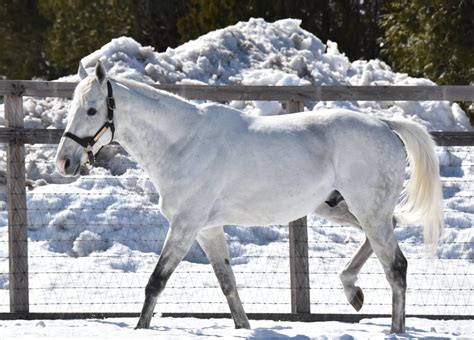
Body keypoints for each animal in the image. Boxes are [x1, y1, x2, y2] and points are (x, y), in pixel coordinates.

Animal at [55, 61, 444, 332]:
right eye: (72, 108)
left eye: (92, 110)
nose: (64, 162)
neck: (183, 143)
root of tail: (386, 126)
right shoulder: (207, 229)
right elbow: (228, 285)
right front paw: (244, 328)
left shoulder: (185, 226)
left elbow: (156, 282)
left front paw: (141, 328)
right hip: (341, 208)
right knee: (383, 245)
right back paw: (354, 292)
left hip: (368, 210)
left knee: (396, 266)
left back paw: (395, 329)